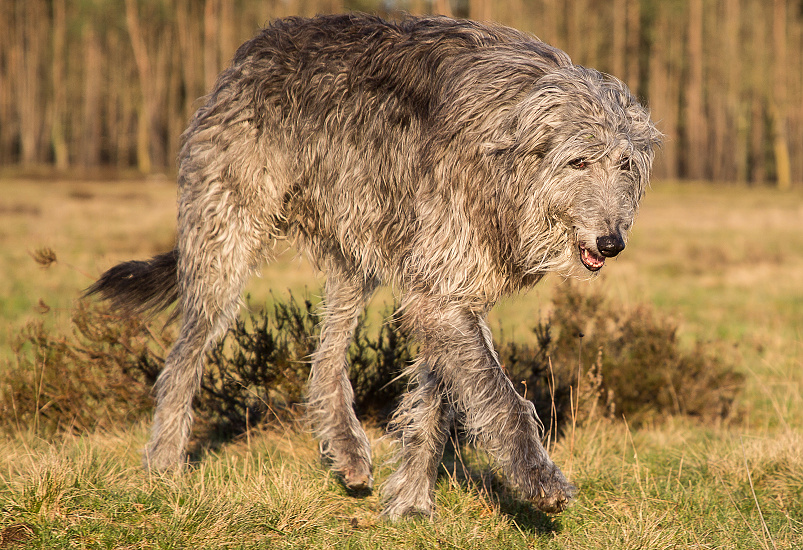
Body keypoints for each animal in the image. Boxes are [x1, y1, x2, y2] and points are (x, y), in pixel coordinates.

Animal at [89, 14, 660, 520]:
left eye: (625, 164)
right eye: (579, 161)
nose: (612, 243)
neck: (505, 156)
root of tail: (247, 54)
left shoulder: (447, 290)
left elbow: (435, 402)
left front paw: (411, 503)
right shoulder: (443, 291)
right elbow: (499, 396)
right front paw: (539, 480)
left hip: (354, 253)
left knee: (325, 358)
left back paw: (346, 449)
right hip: (225, 241)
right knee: (185, 354)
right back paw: (164, 463)